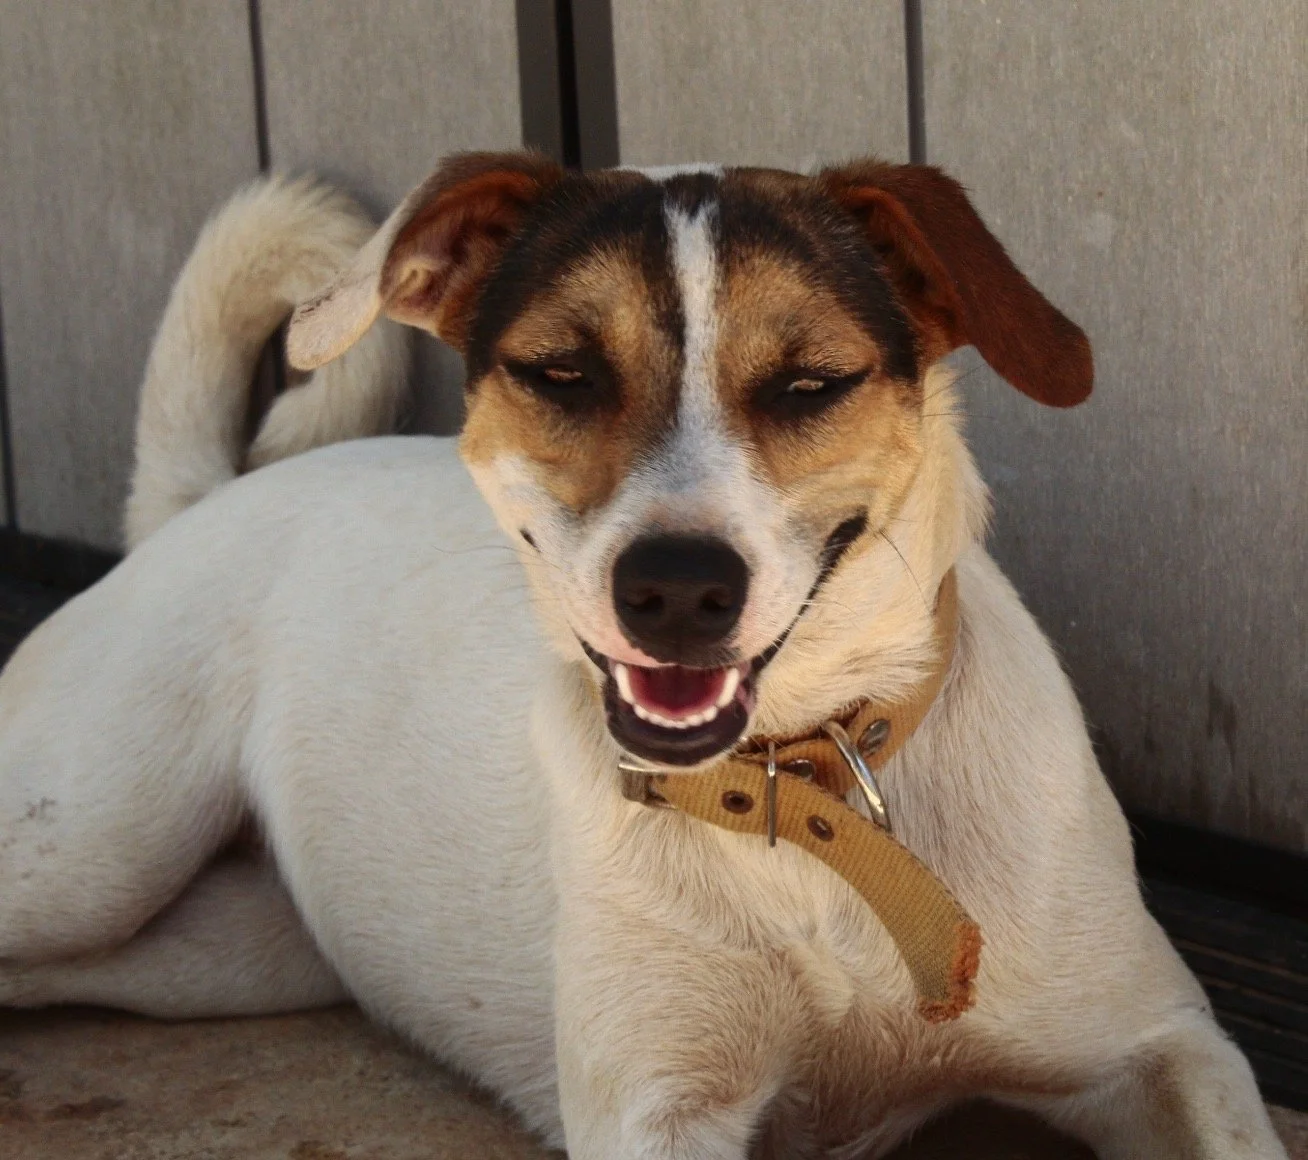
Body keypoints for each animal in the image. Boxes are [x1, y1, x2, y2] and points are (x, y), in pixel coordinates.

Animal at [0, 153, 1287, 1159]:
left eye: (810, 383)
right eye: (562, 373)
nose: (675, 588)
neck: (805, 793)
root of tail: (196, 505)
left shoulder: (1162, 1045)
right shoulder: (659, 1109)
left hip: (217, 948)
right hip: (94, 848)